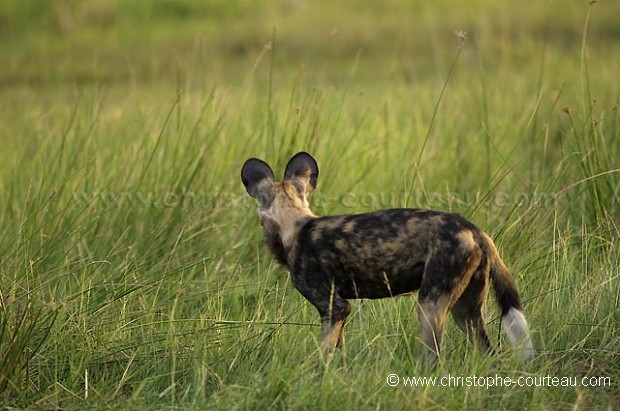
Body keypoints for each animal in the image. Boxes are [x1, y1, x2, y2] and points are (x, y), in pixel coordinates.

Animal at [240, 153, 536, 362]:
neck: (293, 223)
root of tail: (474, 230)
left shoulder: (333, 306)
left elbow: (323, 356)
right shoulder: (339, 311)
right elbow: (338, 354)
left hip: (429, 306)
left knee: (435, 359)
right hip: (466, 310)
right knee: (490, 355)